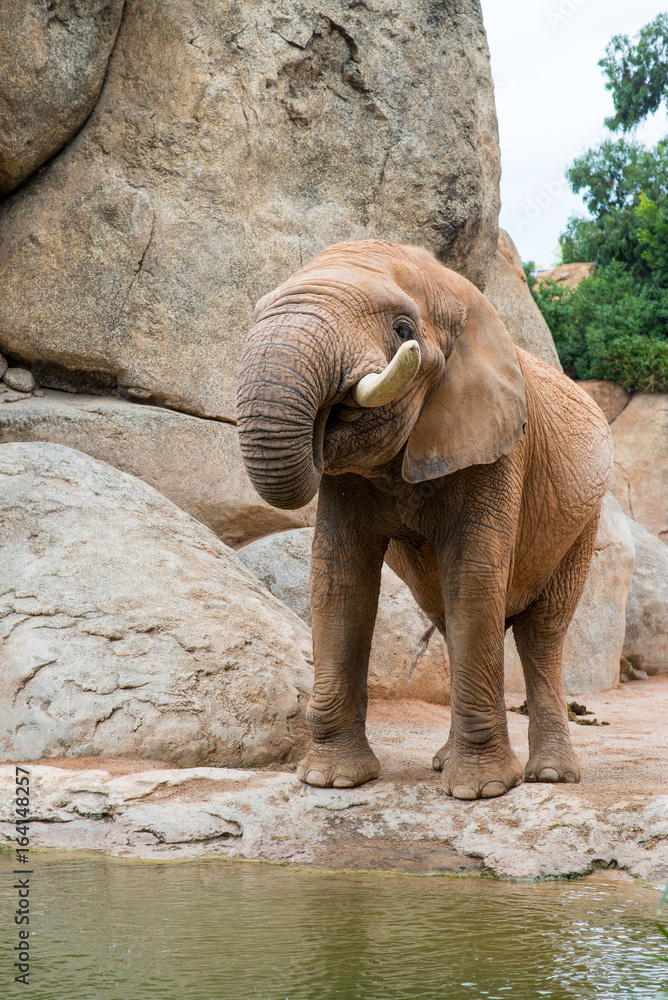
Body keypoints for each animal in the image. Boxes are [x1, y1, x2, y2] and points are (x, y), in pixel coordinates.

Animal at [237, 238, 612, 800]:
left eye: (403, 330)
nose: (324, 417)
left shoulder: (499, 447)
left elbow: (474, 575)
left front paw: (480, 792)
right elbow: (338, 579)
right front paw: (332, 781)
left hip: (581, 525)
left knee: (541, 632)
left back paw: (549, 775)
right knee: (449, 617)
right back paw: (442, 762)